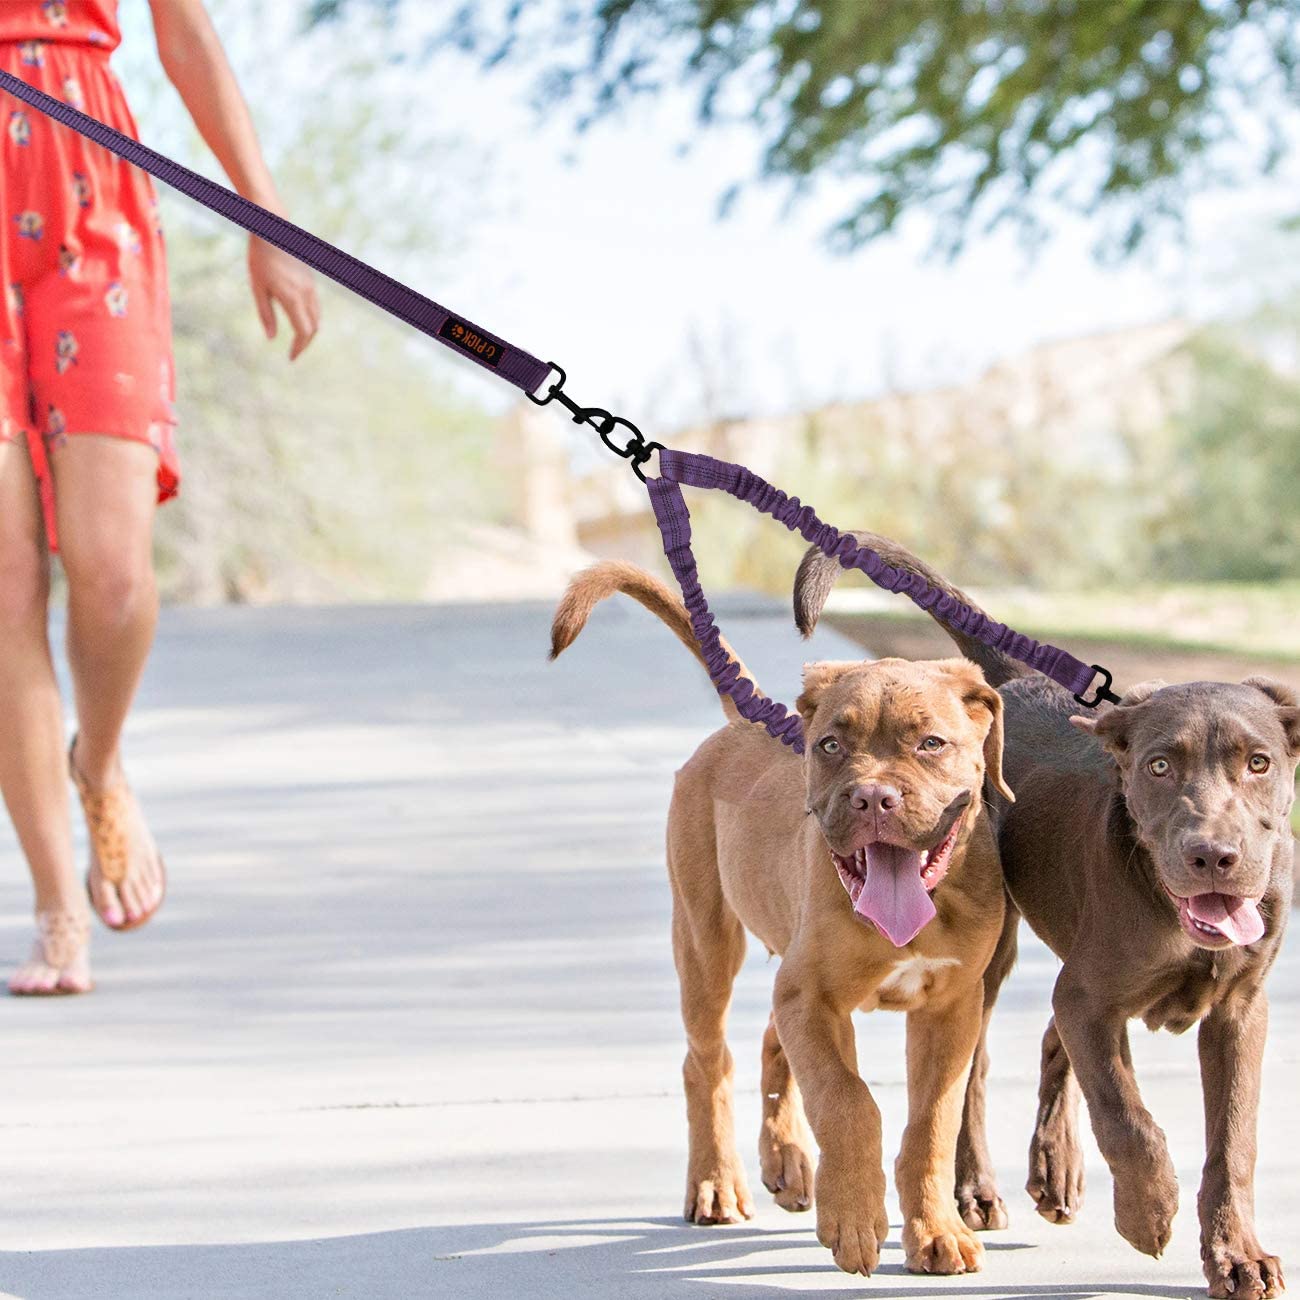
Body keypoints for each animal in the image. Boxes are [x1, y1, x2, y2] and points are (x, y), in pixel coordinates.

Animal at [548, 564, 1013, 1274]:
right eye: (830, 745)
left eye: (931, 744)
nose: (872, 797)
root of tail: (745, 722)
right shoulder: (812, 995)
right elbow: (849, 1102)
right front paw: (854, 1220)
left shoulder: (950, 1008)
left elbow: (930, 1124)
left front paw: (936, 1230)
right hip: (706, 942)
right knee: (707, 1062)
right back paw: (717, 1183)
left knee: (771, 1040)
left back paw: (788, 1164)